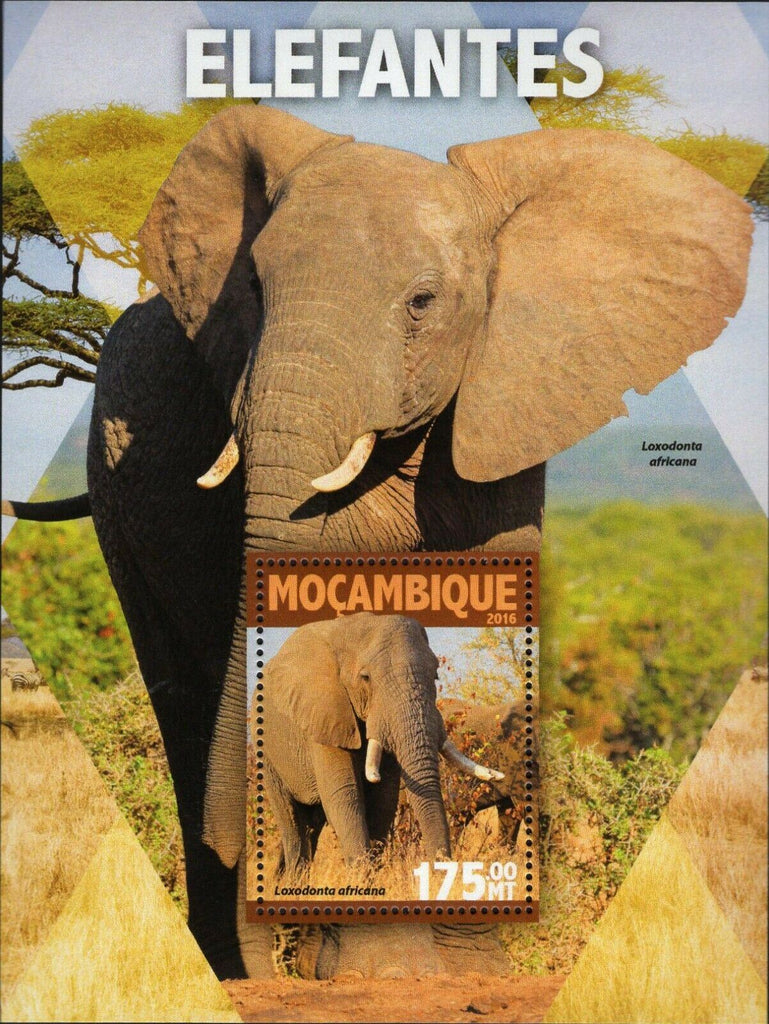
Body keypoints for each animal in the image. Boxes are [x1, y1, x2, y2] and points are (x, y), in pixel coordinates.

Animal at [255, 612, 502, 875]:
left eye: (435, 675)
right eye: (366, 678)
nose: (438, 869)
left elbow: (384, 798)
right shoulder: (324, 715)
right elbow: (344, 794)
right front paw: (361, 877)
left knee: (311, 824)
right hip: (267, 756)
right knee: (292, 822)